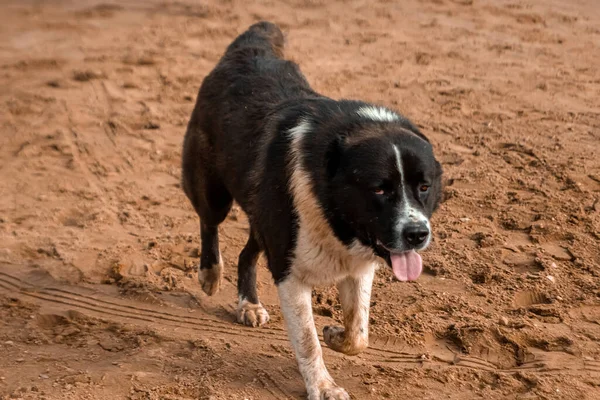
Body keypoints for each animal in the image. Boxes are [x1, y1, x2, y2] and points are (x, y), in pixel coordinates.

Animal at [180, 21, 442, 400]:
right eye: (379, 189)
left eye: (424, 186)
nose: (417, 234)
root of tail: (248, 48)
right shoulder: (290, 274)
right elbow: (307, 340)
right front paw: (323, 386)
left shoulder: (359, 267)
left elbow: (358, 334)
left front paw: (335, 335)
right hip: (214, 192)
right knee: (208, 223)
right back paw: (211, 274)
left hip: (264, 221)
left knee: (247, 253)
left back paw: (248, 304)